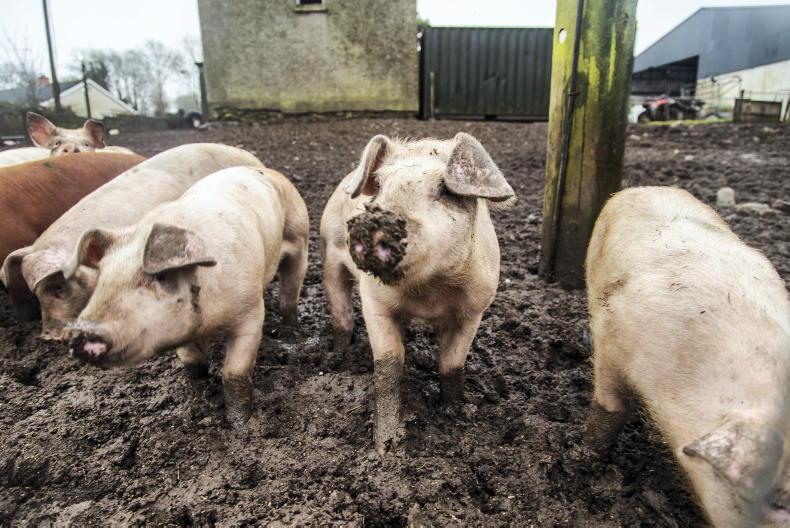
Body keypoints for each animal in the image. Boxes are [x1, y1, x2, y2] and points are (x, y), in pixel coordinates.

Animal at [66, 166, 309, 428]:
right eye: (102, 278)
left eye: (160, 276)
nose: (83, 331)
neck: (208, 323)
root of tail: (267, 170)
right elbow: (193, 364)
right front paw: (196, 402)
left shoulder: (250, 313)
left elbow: (234, 372)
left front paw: (240, 425)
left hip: (300, 238)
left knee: (290, 293)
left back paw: (290, 334)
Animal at [320, 133, 515, 454]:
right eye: (380, 185)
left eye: (445, 190)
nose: (378, 220)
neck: (429, 292)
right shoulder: (374, 302)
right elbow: (389, 363)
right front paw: (386, 447)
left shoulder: (475, 308)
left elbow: (452, 363)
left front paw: (456, 414)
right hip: (330, 255)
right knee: (342, 314)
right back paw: (337, 356)